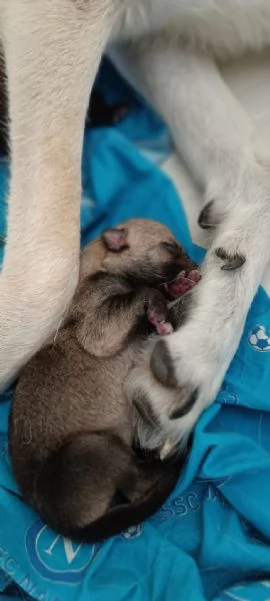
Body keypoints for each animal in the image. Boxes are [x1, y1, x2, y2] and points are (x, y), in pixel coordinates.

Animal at [8, 218, 198, 540]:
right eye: (171, 249)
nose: (195, 264)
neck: (99, 267)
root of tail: (64, 524)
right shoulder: (101, 328)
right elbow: (145, 292)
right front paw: (162, 307)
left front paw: (178, 288)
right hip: (95, 447)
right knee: (140, 486)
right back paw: (170, 461)